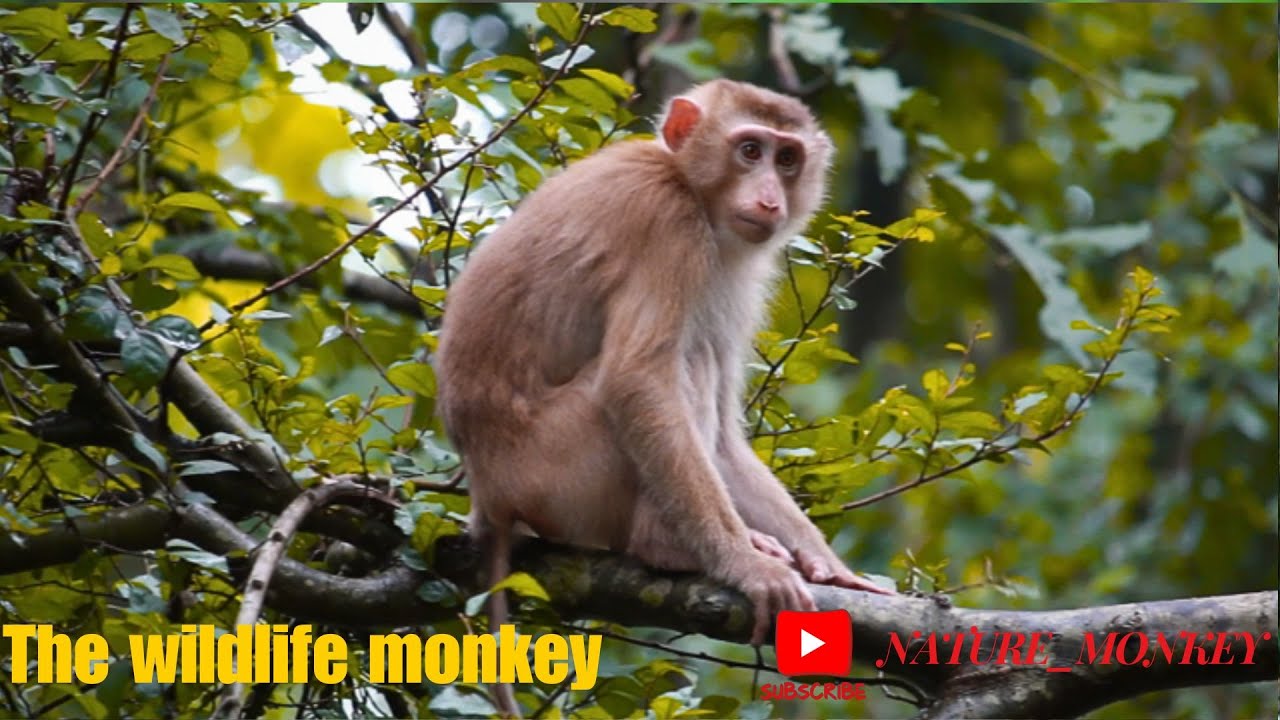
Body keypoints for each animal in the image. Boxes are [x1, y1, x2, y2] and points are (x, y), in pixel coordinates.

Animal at [436, 79, 890, 713]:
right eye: (750, 150)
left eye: (787, 159)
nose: (770, 199)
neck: (683, 179)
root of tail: (488, 496)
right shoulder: (668, 225)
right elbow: (637, 379)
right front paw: (741, 563)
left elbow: (723, 435)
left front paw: (824, 559)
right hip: (558, 471)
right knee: (678, 365)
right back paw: (668, 547)